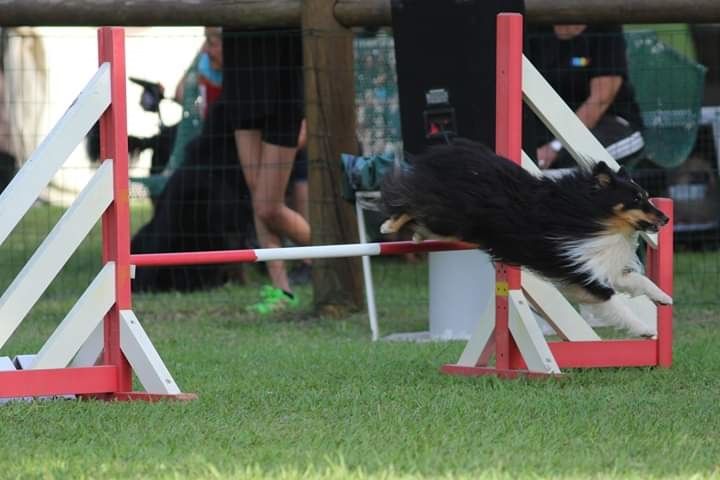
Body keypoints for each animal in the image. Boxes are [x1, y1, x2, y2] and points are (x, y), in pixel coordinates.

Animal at [380, 139, 672, 336]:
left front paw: (663, 298)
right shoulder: (583, 275)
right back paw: (388, 224)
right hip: (448, 217)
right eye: (637, 199)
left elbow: (639, 280)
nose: (666, 219)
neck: (589, 216)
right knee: (410, 201)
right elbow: (616, 303)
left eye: (647, 196)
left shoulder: (598, 267)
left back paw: (415, 234)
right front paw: (645, 329)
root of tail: (447, 153)